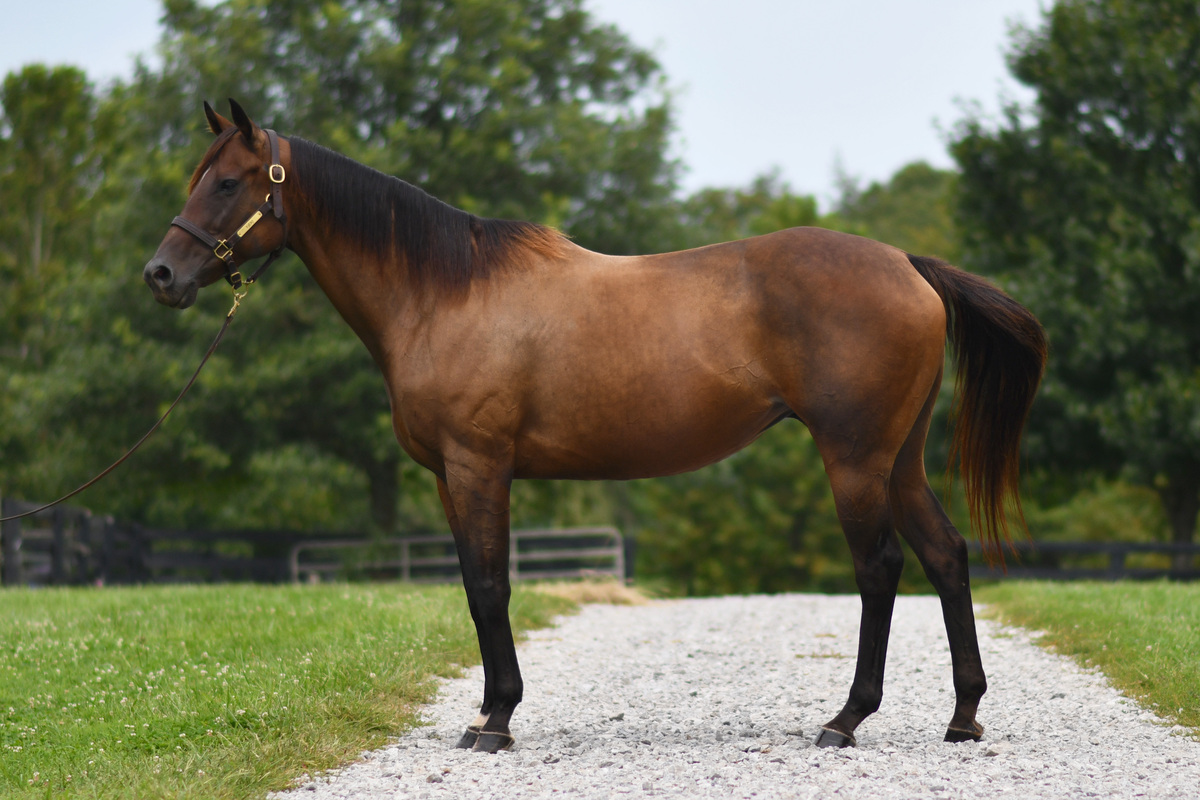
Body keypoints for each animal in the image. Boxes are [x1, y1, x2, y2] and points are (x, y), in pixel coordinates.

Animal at [144, 99, 1046, 753]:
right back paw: (963, 717)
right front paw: (485, 712)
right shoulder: (448, 478)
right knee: (946, 556)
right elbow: (474, 587)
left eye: (228, 183)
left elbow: (490, 584)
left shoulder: (479, 465)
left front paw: (497, 722)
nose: (161, 274)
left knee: (880, 567)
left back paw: (845, 719)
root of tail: (906, 264)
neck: (444, 292)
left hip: (854, 459)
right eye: (199, 177)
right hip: (900, 459)